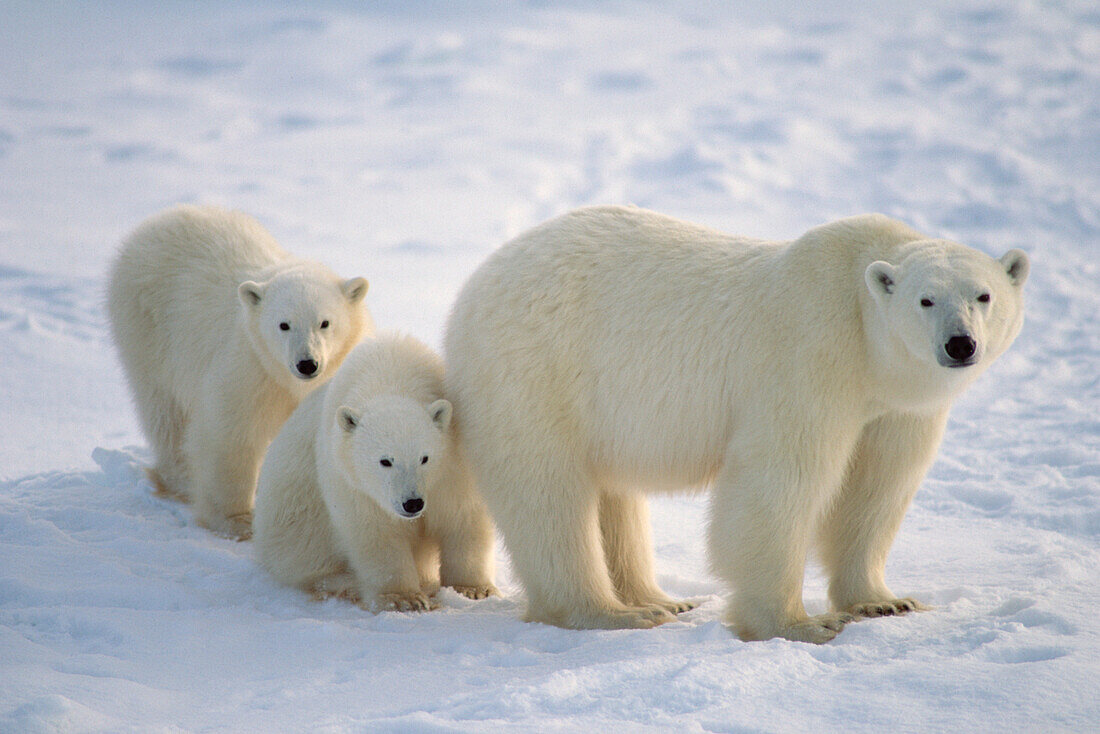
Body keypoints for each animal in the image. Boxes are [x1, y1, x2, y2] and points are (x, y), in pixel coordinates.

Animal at [108, 206, 374, 539]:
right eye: (283, 324)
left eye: (325, 322)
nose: (307, 364)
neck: (288, 381)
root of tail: (158, 221)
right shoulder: (250, 369)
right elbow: (231, 435)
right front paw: (236, 522)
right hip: (147, 330)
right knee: (165, 412)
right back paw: (180, 480)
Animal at [442, 206, 1025, 642]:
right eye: (925, 299)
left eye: (984, 295)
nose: (960, 344)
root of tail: (474, 285)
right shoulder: (809, 355)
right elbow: (780, 481)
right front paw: (801, 623)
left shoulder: (898, 408)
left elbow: (878, 486)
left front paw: (886, 602)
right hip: (536, 371)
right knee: (549, 496)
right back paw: (615, 612)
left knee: (611, 496)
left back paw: (660, 599)